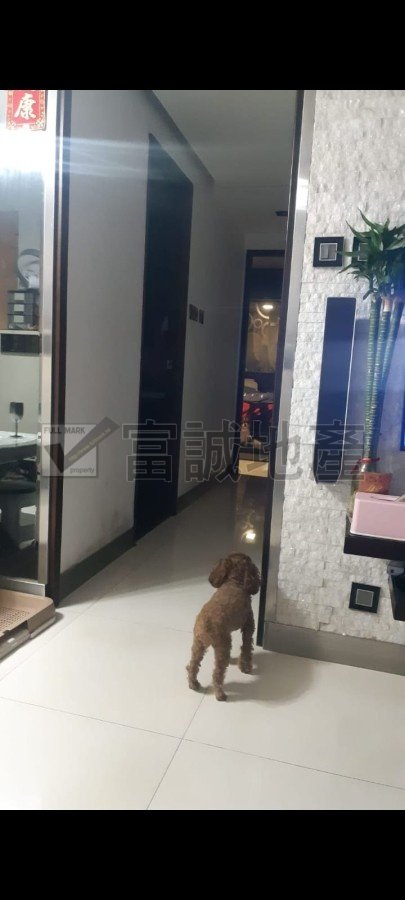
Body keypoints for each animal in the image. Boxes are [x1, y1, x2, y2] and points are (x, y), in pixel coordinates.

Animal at [186, 553, 261, 701]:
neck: (234, 581)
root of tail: (205, 624)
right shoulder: (249, 626)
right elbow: (246, 648)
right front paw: (245, 668)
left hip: (198, 644)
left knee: (193, 665)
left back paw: (193, 684)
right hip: (222, 647)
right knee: (217, 673)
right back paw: (220, 694)